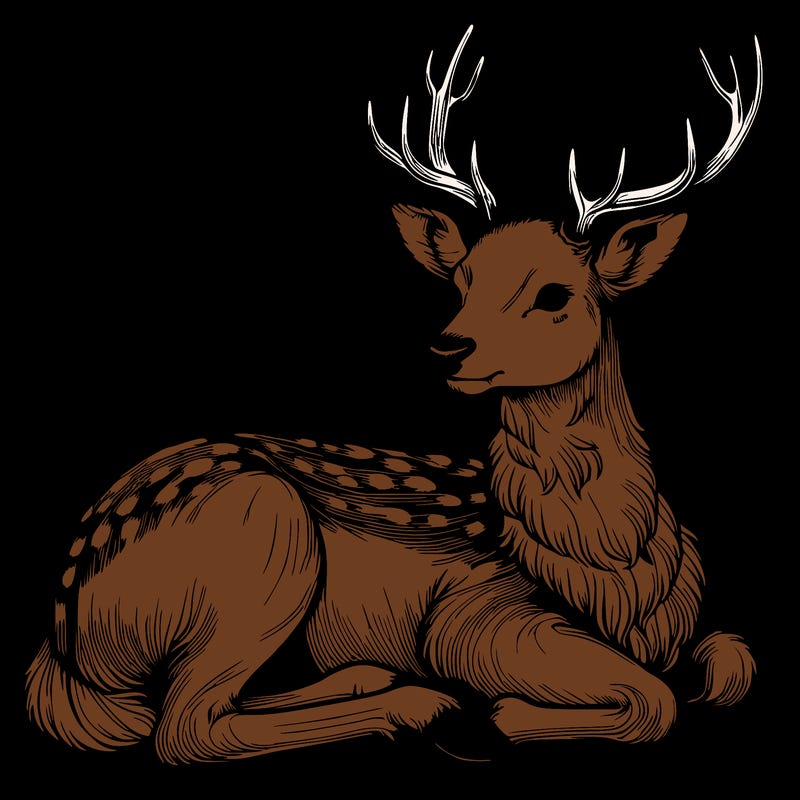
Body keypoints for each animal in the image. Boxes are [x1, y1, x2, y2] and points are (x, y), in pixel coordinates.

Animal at [26, 26, 761, 764]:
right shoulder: (474, 616)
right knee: (184, 726)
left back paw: (370, 676)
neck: (614, 570)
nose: (450, 345)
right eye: (462, 280)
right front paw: (503, 714)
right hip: (266, 539)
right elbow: (654, 699)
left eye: (555, 293)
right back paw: (419, 705)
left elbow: (731, 657)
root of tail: (63, 643)